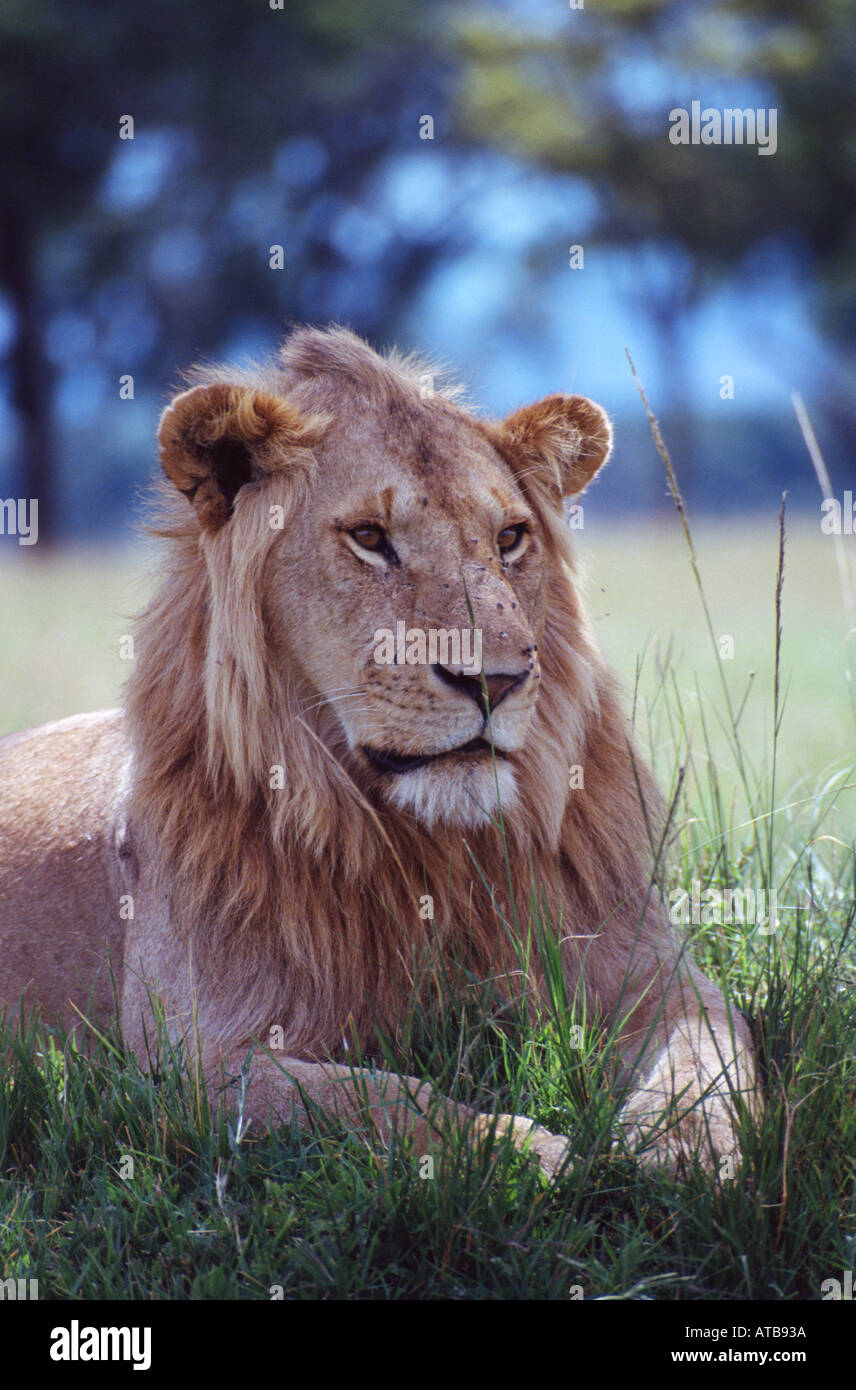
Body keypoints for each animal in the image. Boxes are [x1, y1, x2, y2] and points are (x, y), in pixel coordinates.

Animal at [0, 326, 758, 1177]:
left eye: (510, 539)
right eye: (370, 539)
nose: (496, 679)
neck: (430, 855)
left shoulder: (648, 967)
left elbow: (712, 1048)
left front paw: (687, 1148)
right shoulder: (188, 1062)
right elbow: (380, 1099)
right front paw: (514, 1150)